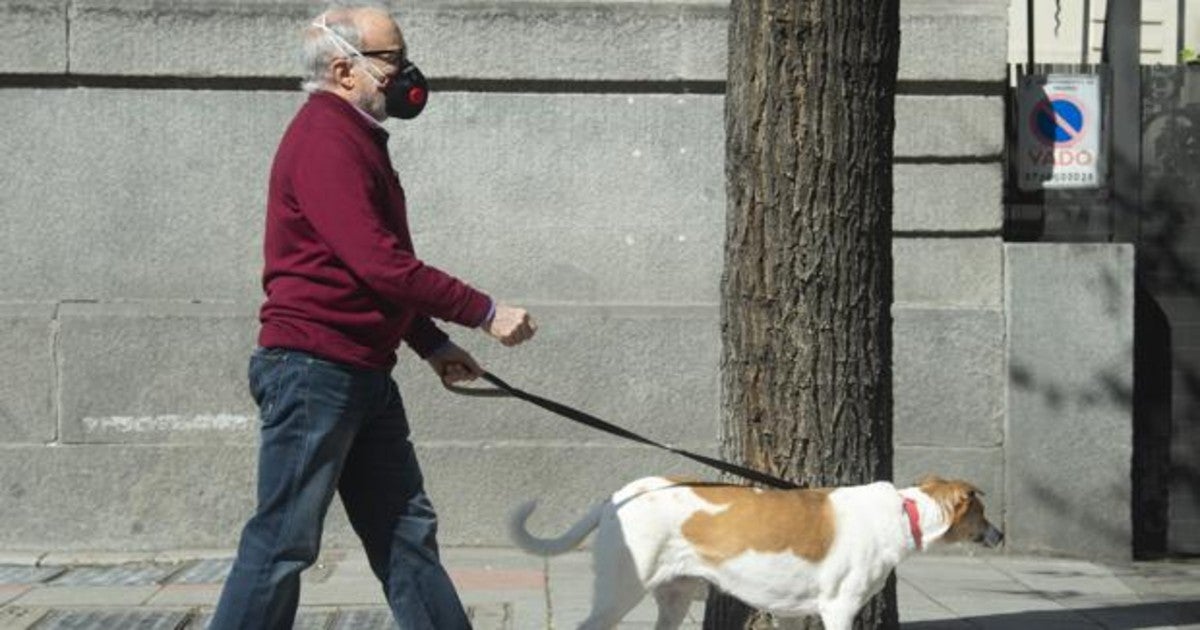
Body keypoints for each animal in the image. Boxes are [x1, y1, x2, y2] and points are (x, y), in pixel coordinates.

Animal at [506, 475, 1003, 624]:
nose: (1000, 536)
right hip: (620, 590)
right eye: (982, 512)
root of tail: (616, 497)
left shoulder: (792, 614)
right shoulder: (839, 609)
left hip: (674, 598)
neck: (903, 512)